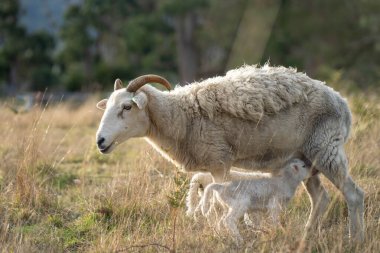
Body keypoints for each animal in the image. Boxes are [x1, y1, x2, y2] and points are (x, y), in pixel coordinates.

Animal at [95, 64, 366, 240]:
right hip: (308, 159)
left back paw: (355, 239)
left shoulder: (220, 161)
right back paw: (308, 235)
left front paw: (224, 234)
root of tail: (342, 102)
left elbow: (218, 204)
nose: (100, 141)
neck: (182, 117)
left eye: (127, 107)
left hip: (328, 149)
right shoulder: (212, 164)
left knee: (353, 194)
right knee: (320, 199)